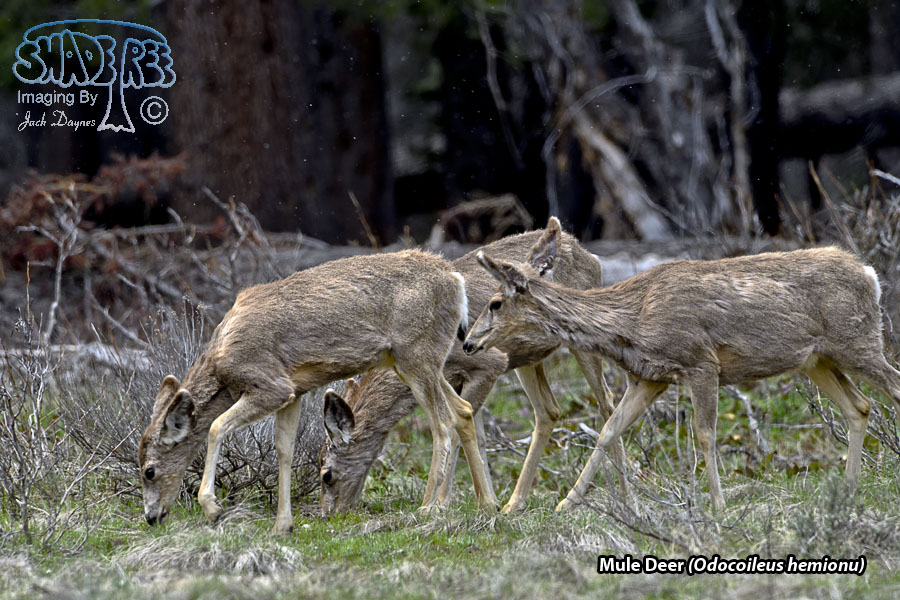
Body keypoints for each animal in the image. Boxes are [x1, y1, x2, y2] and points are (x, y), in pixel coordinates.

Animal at [138, 250, 497, 535]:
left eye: (149, 470)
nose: (152, 517)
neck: (220, 362)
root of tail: (455, 280)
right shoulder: (294, 390)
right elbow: (284, 449)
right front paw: (282, 526)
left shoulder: (271, 383)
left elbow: (215, 426)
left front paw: (212, 508)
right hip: (419, 362)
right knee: (463, 410)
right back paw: (486, 504)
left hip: (417, 354)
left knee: (443, 422)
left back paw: (427, 508)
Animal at [320, 228, 628, 515]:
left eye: (326, 475)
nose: (332, 515)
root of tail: (591, 256)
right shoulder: (461, 377)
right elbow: (476, 436)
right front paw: (480, 502)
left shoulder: (489, 363)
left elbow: (457, 430)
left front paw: (440, 505)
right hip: (527, 360)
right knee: (549, 410)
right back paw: (515, 502)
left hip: (583, 341)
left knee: (608, 403)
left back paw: (620, 492)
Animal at [463, 216, 900, 512]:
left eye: (495, 303)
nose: (468, 342)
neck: (632, 318)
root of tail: (871, 274)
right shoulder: (649, 377)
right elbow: (607, 430)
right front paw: (565, 504)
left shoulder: (700, 362)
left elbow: (704, 434)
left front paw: (719, 505)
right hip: (818, 360)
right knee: (860, 406)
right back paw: (849, 487)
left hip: (859, 342)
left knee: (890, 388)